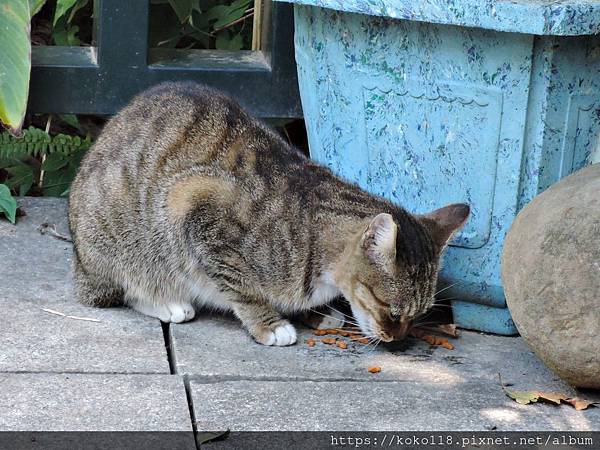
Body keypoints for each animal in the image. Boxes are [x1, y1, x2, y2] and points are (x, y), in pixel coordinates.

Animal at [67, 82, 468, 346]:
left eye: (417, 315)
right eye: (392, 311)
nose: (397, 339)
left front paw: (319, 313)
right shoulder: (194, 205)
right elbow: (240, 287)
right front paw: (270, 324)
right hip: (127, 241)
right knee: (123, 288)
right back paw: (167, 302)